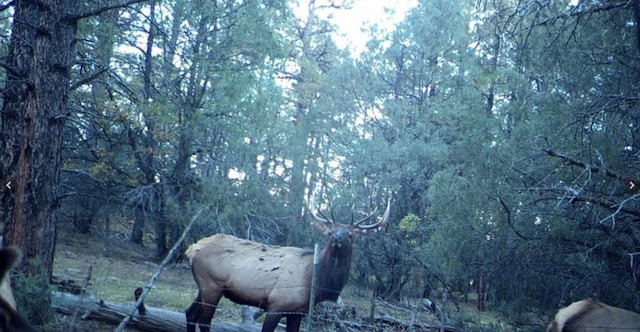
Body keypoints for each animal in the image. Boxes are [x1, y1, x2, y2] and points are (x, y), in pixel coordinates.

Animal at [185, 198, 392, 330]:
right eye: (329, 231)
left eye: (350, 234)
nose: (337, 237)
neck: (315, 282)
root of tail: (192, 248)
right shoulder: (277, 305)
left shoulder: (297, 312)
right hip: (212, 286)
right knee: (203, 320)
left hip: (205, 287)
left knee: (190, 314)